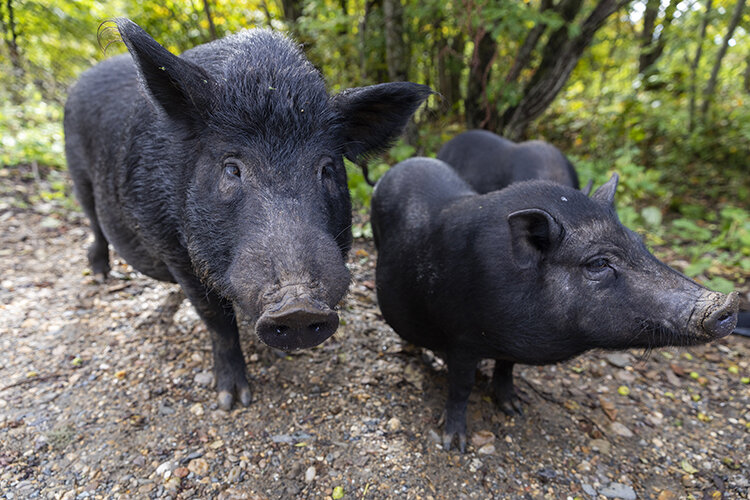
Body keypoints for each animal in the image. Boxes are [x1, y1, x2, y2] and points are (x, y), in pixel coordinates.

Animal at [67, 19, 432, 410]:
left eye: (326, 168)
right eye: (232, 169)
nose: (299, 305)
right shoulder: (175, 251)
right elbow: (217, 321)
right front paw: (233, 400)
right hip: (79, 177)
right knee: (94, 223)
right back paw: (100, 275)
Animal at [372, 158, 740, 452]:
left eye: (641, 243)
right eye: (598, 263)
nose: (729, 302)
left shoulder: (509, 346)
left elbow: (506, 369)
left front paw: (515, 408)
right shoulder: (461, 338)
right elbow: (460, 389)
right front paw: (455, 445)